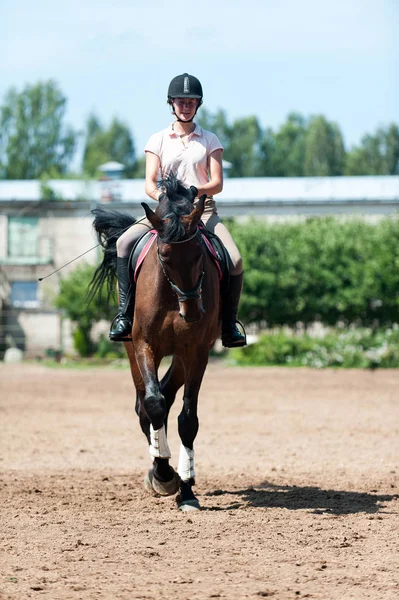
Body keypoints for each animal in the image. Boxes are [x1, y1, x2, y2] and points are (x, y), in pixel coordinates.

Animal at [90, 175, 220, 510]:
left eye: (199, 254)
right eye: (163, 257)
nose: (192, 312)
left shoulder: (196, 352)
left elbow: (187, 418)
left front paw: (186, 489)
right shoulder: (144, 345)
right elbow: (153, 404)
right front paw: (163, 474)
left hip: (182, 357)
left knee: (167, 394)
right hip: (133, 351)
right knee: (145, 405)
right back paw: (158, 467)